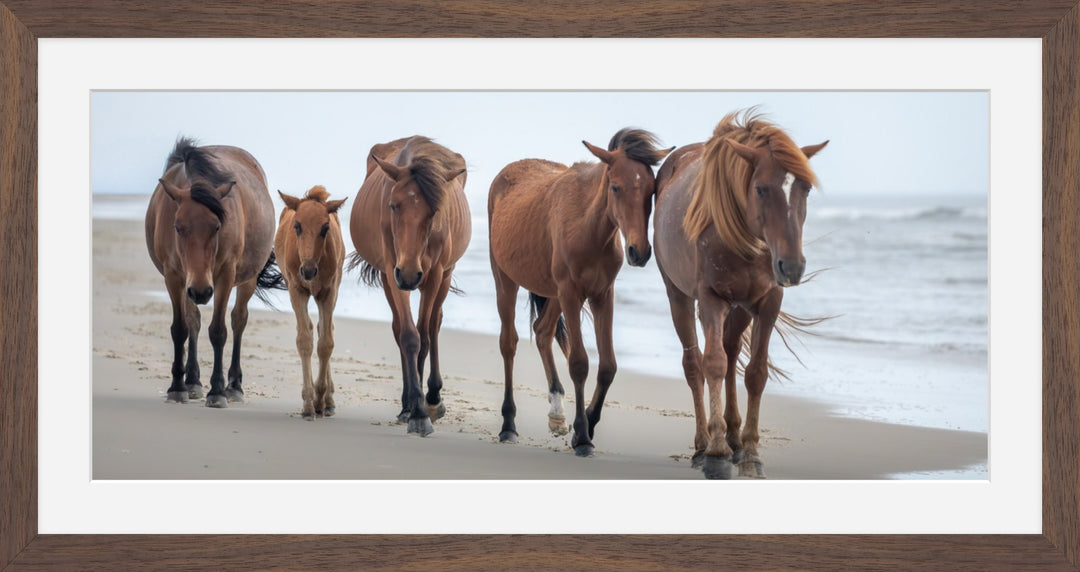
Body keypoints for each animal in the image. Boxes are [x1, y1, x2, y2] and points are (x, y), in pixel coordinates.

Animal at [145, 137, 284, 407]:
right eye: (177, 227)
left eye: (218, 226)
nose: (200, 291)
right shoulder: (174, 276)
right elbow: (180, 328)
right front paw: (177, 387)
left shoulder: (224, 276)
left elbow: (219, 331)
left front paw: (217, 391)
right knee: (194, 321)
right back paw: (192, 382)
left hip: (246, 280)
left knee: (239, 320)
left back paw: (234, 386)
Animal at [274, 186, 348, 420]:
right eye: (297, 225)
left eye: (325, 228)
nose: (308, 271)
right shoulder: (296, 290)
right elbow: (304, 340)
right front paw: (308, 404)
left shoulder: (328, 291)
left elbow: (326, 343)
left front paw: (319, 400)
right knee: (310, 328)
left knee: (326, 329)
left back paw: (328, 401)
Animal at [348, 136, 470, 437]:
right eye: (393, 205)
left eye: (434, 210)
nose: (410, 274)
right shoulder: (393, 270)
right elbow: (408, 336)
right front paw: (415, 412)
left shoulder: (434, 274)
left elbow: (424, 336)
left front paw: (425, 408)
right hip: (388, 276)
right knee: (399, 328)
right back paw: (407, 406)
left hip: (444, 275)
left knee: (435, 324)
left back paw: (433, 397)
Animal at [488, 128, 673, 457]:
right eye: (615, 187)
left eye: (651, 190)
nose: (639, 252)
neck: (588, 228)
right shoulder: (571, 294)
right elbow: (579, 363)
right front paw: (583, 437)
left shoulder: (602, 295)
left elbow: (608, 366)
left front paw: (585, 426)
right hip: (506, 280)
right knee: (509, 343)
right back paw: (508, 425)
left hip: (554, 294)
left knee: (542, 331)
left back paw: (557, 414)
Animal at [653, 110, 828, 479]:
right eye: (760, 188)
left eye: (805, 188)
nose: (792, 266)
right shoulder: (710, 299)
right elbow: (713, 364)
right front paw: (717, 453)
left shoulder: (767, 302)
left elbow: (755, 373)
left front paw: (749, 452)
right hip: (678, 295)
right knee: (695, 363)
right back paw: (703, 445)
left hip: (740, 307)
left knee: (733, 353)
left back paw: (734, 439)